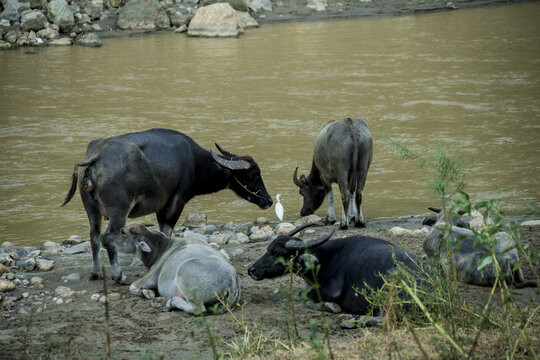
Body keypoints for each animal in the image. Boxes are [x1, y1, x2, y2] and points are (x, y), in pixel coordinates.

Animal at [62, 129, 274, 284]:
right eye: (253, 174)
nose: (269, 201)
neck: (194, 161)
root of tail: (96, 158)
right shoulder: (175, 203)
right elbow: (166, 231)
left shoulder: (160, 206)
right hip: (118, 212)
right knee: (108, 238)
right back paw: (119, 275)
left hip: (91, 210)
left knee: (94, 238)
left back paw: (95, 272)